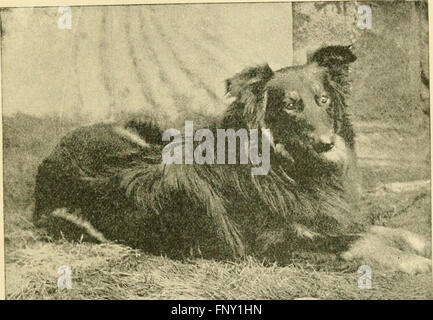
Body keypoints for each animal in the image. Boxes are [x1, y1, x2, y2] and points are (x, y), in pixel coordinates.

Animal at [33, 45, 428, 274]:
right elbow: (359, 241)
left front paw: (418, 242)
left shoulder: (324, 219)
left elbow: (378, 230)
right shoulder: (273, 246)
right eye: (290, 105)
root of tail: (55, 150)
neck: (284, 170)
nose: (328, 145)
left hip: (157, 132)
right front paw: (415, 261)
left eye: (324, 100)